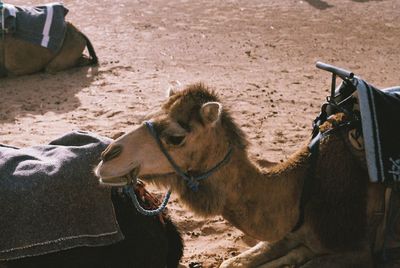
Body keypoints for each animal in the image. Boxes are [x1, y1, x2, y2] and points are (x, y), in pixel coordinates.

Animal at [94, 82, 396, 266]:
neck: (302, 190)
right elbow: (233, 261)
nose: (106, 157)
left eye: (176, 137)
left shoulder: (357, 250)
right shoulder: (286, 234)